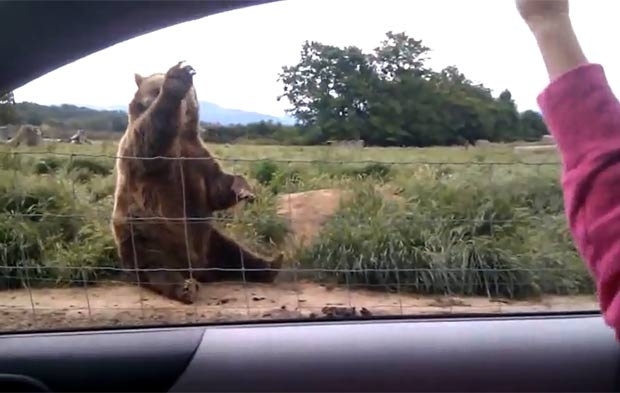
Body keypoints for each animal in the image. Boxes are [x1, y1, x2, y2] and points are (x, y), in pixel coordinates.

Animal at [111, 62, 284, 304]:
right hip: (144, 235)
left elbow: (216, 188)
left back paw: (271, 265)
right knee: (156, 268)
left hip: (209, 240)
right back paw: (185, 287)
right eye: (153, 89)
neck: (181, 133)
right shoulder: (142, 152)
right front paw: (177, 79)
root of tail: (197, 267)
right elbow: (147, 143)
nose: (148, 100)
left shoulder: (197, 155)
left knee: (235, 253)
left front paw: (243, 189)